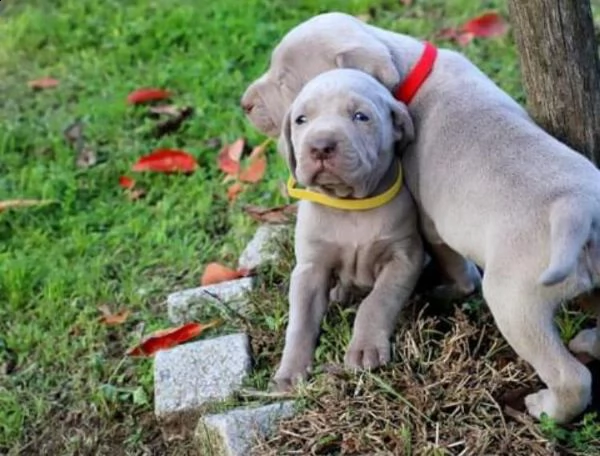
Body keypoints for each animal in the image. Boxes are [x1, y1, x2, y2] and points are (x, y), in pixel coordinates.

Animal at [274, 69, 424, 390]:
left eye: (360, 116)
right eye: (301, 120)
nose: (320, 146)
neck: (350, 206)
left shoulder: (404, 256)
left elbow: (377, 301)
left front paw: (365, 348)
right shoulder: (310, 268)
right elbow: (300, 321)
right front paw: (290, 371)